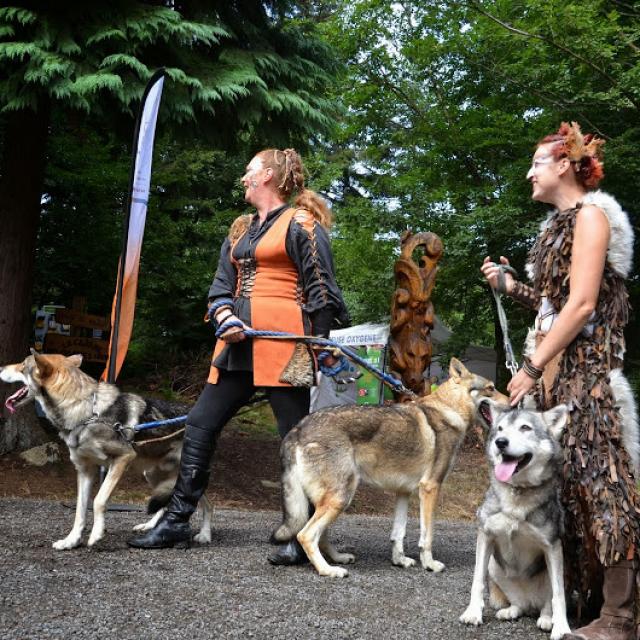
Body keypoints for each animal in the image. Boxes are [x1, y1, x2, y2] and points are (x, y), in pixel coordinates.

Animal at [1, 350, 214, 552]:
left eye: (22, 365)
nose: (1, 366)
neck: (86, 411)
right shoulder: (84, 470)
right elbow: (80, 510)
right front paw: (71, 541)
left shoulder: (121, 459)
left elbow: (98, 501)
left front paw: (96, 534)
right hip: (153, 476)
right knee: (165, 504)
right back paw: (149, 527)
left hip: (184, 476)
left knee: (206, 504)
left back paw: (204, 534)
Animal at [272, 358, 508, 576]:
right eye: (491, 388)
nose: (513, 403)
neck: (449, 411)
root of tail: (297, 429)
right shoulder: (429, 489)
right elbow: (427, 536)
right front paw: (429, 564)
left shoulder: (403, 492)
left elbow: (398, 533)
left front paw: (399, 560)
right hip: (340, 498)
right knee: (306, 535)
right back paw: (328, 570)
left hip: (330, 501)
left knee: (319, 535)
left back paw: (338, 558)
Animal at [458, 400, 572, 640]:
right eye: (500, 430)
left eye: (525, 428)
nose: (501, 442)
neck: (517, 491)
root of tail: (530, 602)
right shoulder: (485, 536)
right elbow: (477, 581)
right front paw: (473, 613)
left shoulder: (552, 547)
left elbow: (558, 596)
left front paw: (561, 628)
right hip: (495, 567)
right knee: (519, 604)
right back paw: (510, 611)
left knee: (545, 604)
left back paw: (546, 619)